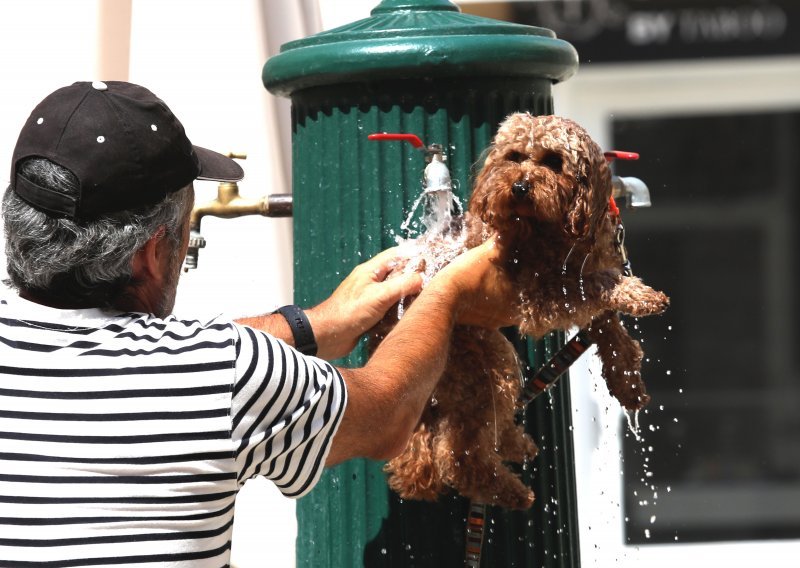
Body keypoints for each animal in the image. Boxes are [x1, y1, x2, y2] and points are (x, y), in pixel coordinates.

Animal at [374, 114, 668, 510]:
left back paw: (515, 442)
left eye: (554, 161)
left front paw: (628, 383)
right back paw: (511, 492)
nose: (519, 187)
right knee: (459, 453)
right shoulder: (543, 293)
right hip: (479, 360)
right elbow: (599, 284)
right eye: (514, 156)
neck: (554, 227)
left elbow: (611, 331)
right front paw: (639, 294)